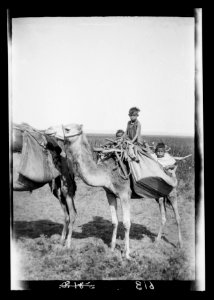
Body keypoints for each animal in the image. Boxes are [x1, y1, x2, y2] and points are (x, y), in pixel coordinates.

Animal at [54, 124, 182, 260]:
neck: (107, 172)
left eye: (67, 129)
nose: (49, 131)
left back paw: (179, 244)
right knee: (163, 216)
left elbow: (126, 223)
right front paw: (112, 248)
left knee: (178, 217)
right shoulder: (110, 194)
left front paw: (127, 254)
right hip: (159, 196)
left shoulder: (125, 194)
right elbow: (114, 222)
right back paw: (157, 241)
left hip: (172, 191)